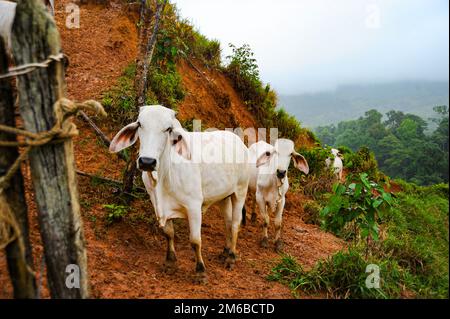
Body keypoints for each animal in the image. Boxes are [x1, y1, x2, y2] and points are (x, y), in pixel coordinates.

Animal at [109, 106, 250, 284]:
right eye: (140, 124)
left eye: (168, 129)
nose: (147, 162)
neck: (164, 176)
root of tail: (238, 140)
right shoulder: (157, 204)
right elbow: (168, 233)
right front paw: (170, 263)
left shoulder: (194, 206)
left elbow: (195, 241)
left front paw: (200, 272)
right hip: (224, 197)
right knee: (228, 222)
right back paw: (225, 251)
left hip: (240, 191)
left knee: (235, 223)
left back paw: (231, 257)